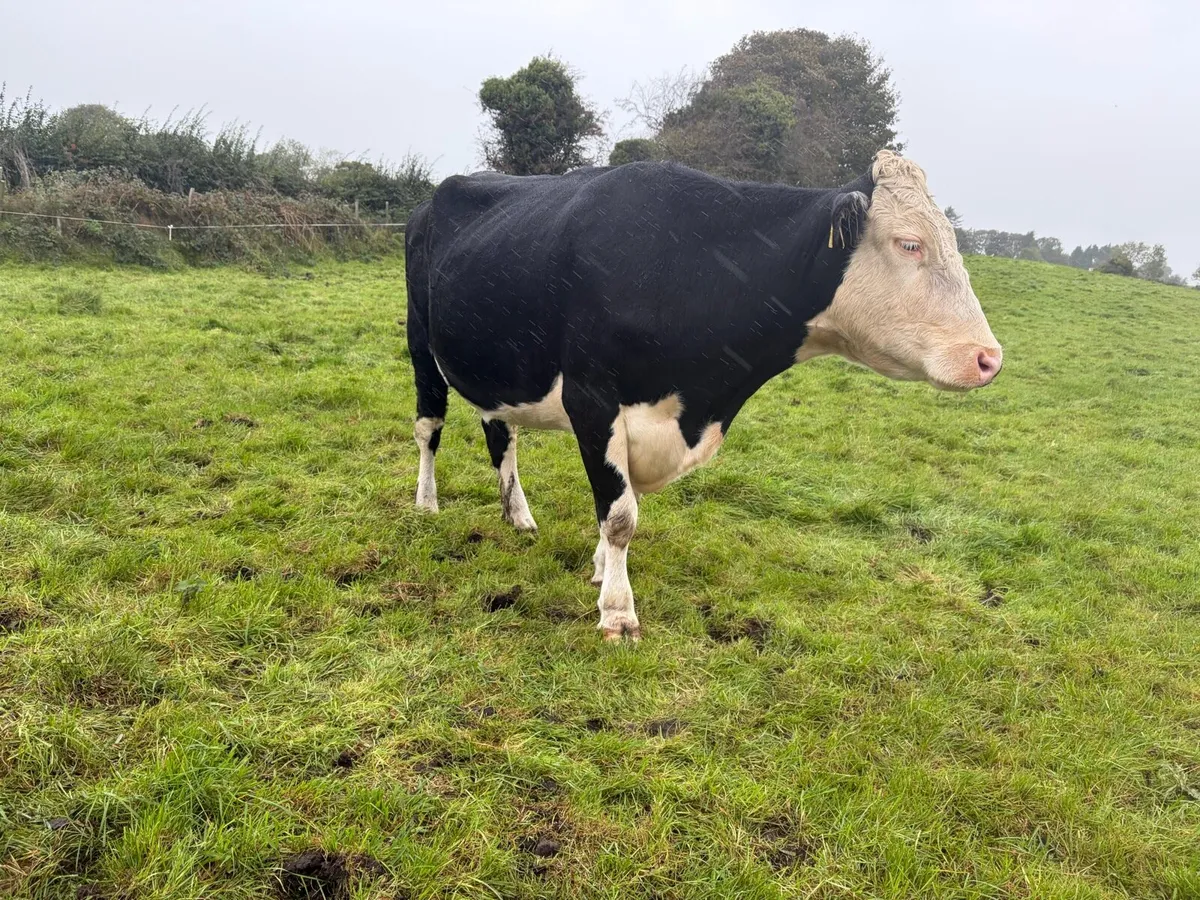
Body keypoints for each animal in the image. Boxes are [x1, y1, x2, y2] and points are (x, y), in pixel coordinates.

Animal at [405, 150, 1002, 641]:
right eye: (910, 244)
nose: (988, 359)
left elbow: (624, 502)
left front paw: (599, 571)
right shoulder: (591, 397)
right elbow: (619, 514)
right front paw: (618, 613)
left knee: (500, 433)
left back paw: (518, 515)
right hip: (420, 345)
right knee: (429, 427)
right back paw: (427, 503)